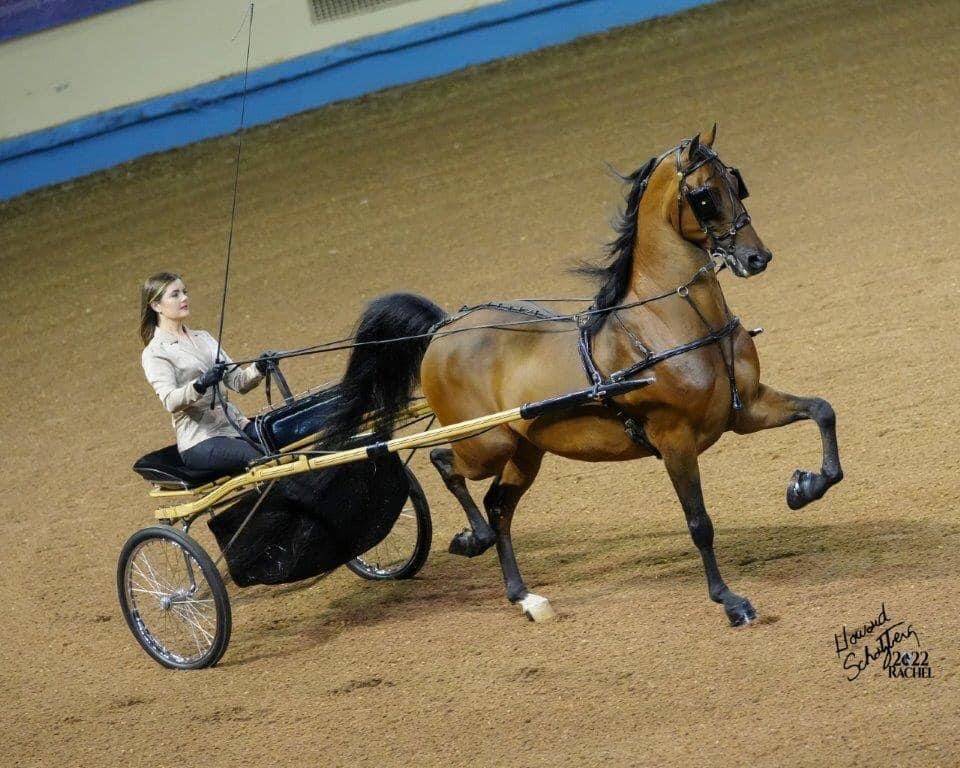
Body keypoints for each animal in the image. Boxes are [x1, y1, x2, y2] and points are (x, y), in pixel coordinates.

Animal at [324, 125, 843, 626]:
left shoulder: (746, 408)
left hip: (525, 451)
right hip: (488, 443)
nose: (757, 258)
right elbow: (699, 523)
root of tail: (443, 326)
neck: (674, 323)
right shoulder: (674, 438)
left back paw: (524, 597)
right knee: (444, 463)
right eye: (704, 195)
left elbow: (822, 411)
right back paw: (473, 539)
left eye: (737, 183)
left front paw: (805, 487)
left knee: (498, 505)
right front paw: (731, 602)